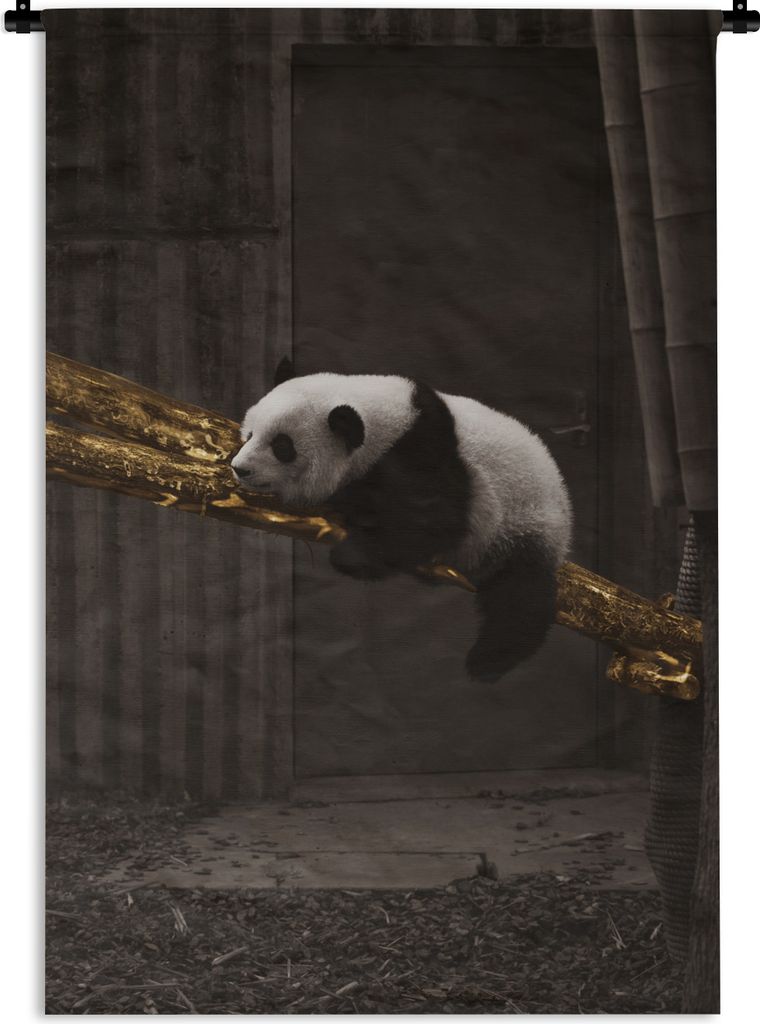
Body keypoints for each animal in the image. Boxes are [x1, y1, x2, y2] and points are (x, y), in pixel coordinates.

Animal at [231, 358, 572, 683]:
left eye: (282, 446)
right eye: (250, 434)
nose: (239, 468)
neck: (387, 420)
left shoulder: (426, 452)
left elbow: (433, 519)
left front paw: (352, 549)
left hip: (525, 524)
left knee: (520, 597)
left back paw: (487, 662)